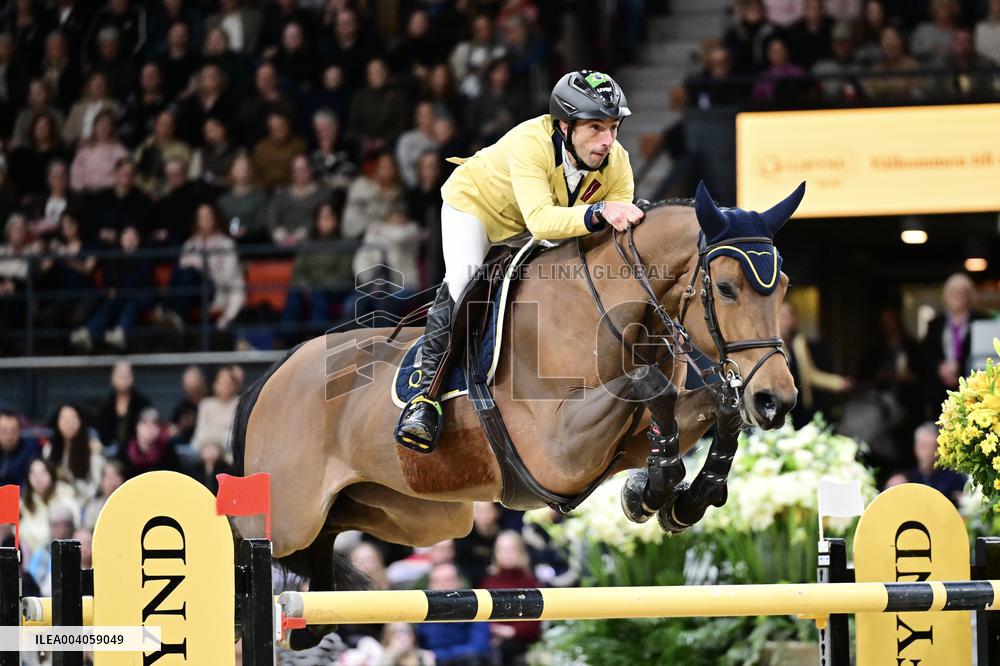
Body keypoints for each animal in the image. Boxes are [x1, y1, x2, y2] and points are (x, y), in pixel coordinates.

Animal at [229, 182, 803, 619]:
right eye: (725, 288)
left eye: (784, 286)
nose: (776, 400)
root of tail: (277, 372)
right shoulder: (557, 452)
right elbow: (649, 384)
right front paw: (655, 488)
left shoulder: (627, 442)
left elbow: (712, 406)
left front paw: (677, 495)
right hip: (286, 516)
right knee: (249, 549)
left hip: (422, 514)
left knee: (330, 535)